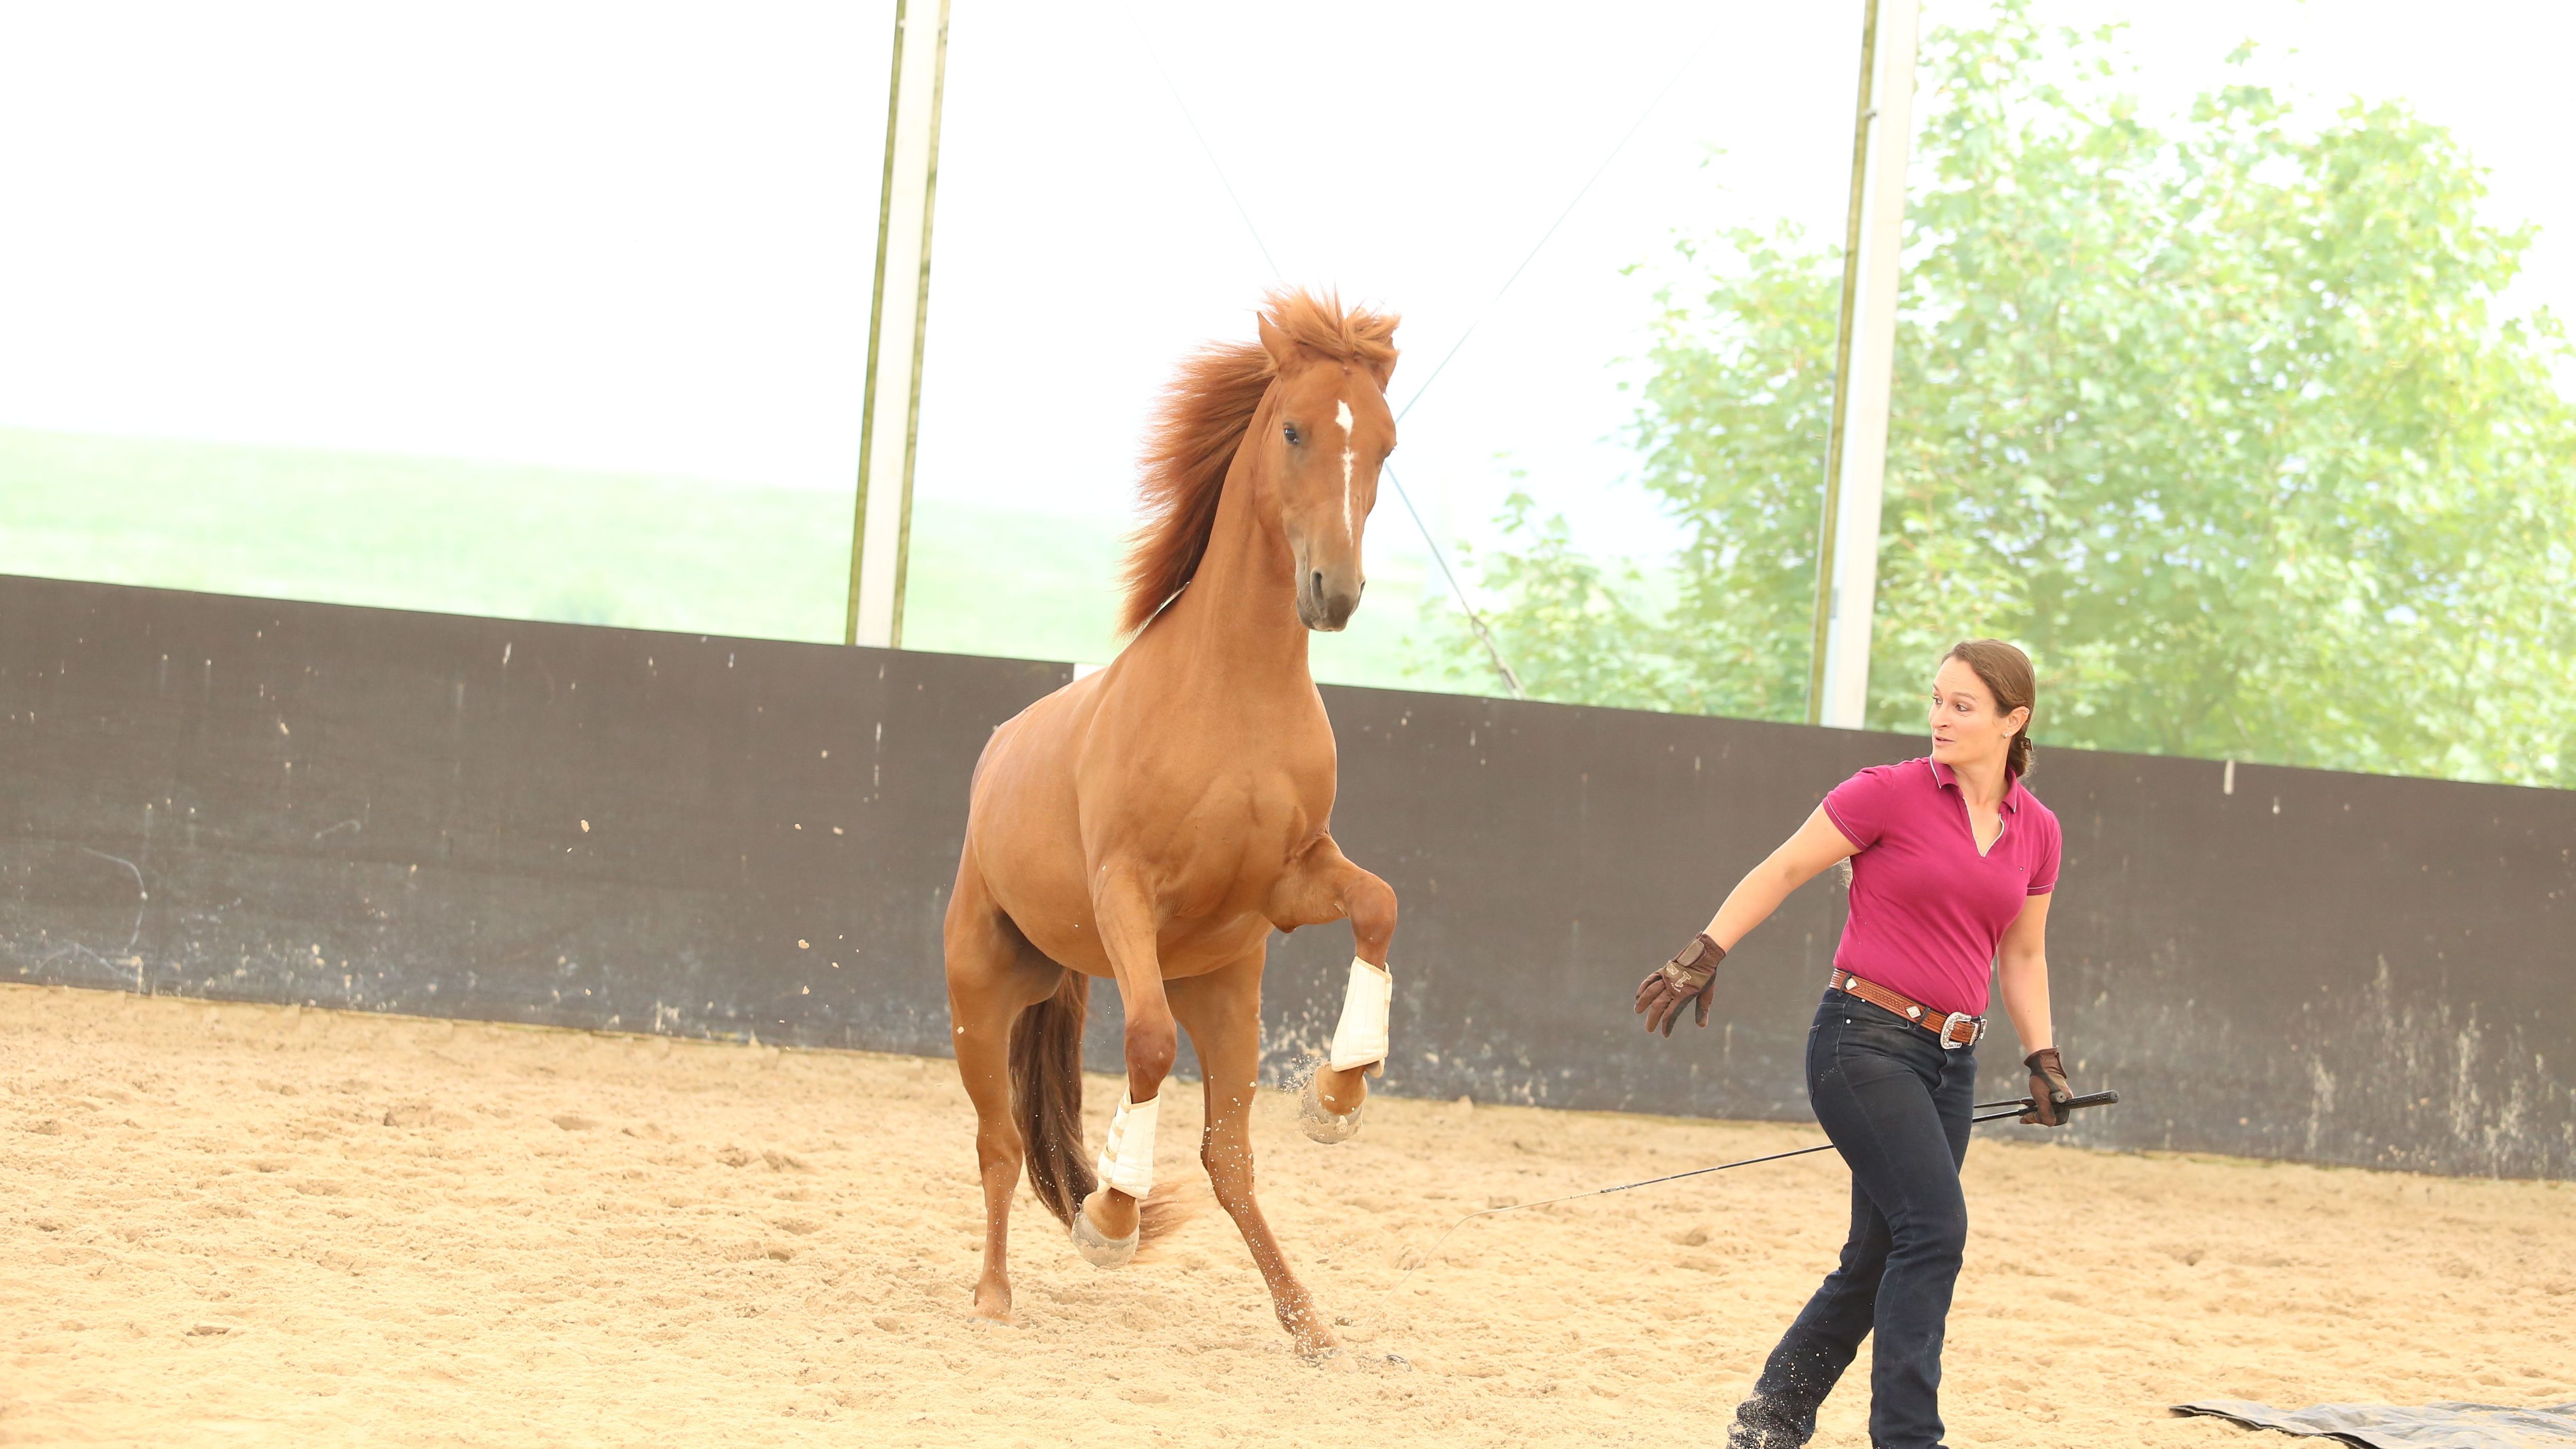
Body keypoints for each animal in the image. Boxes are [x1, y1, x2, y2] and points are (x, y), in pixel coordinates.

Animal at [943, 289, 1401, 1359]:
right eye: (1293, 430)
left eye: (1387, 444)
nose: (1336, 591)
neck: (1230, 697)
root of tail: (999, 752)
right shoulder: (1127, 892)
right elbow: (1147, 1044)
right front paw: (1108, 1216)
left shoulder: (1290, 881)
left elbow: (1379, 906)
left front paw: (1339, 1092)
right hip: (981, 992)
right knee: (999, 1143)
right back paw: (994, 1292)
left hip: (1225, 991)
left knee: (1227, 1156)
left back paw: (1307, 1321)